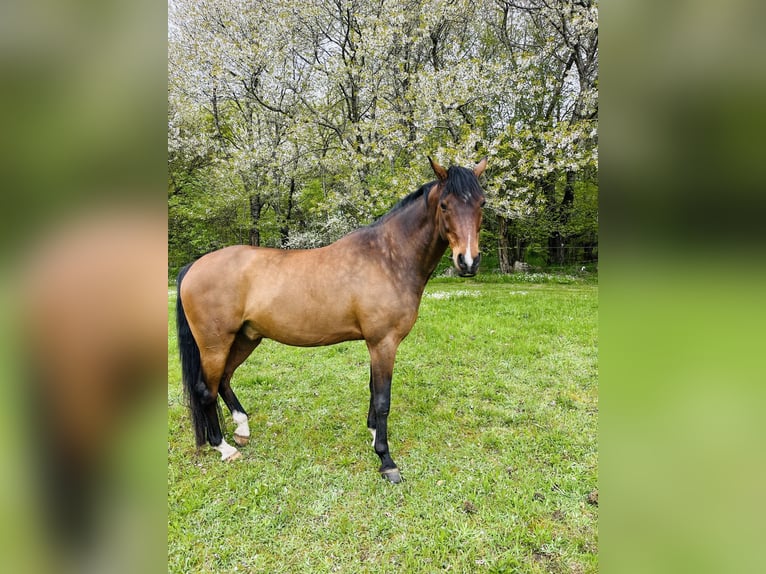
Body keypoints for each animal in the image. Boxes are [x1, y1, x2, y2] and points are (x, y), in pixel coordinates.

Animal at [177, 156, 488, 482]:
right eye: (445, 205)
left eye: (482, 203)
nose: (468, 261)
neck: (388, 258)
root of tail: (193, 267)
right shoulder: (383, 343)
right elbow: (383, 400)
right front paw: (386, 460)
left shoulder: (376, 344)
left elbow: (373, 391)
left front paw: (373, 434)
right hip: (215, 345)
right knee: (206, 390)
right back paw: (223, 447)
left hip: (246, 338)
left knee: (224, 379)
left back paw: (242, 428)